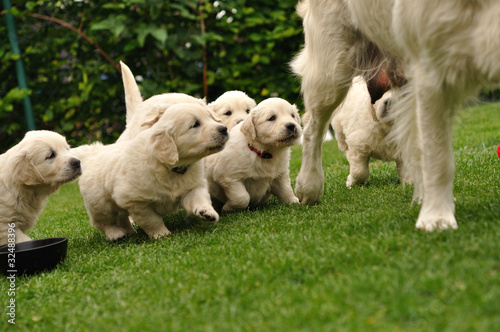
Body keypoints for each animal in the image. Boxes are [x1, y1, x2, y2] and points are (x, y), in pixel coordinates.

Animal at [73, 102, 229, 240]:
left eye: (209, 117)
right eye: (195, 124)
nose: (224, 129)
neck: (172, 168)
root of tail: (92, 152)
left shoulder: (193, 187)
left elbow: (199, 198)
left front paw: (207, 212)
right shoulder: (136, 201)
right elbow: (151, 220)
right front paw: (162, 235)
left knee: (122, 218)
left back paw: (130, 231)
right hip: (100, 204)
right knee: (103, 222)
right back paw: (115, 234)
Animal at [290, 0, 500, 231]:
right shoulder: (430, 69)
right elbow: (437, 157)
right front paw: (436, 217)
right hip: (332, 65)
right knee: (313, 126)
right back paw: (309, 187)